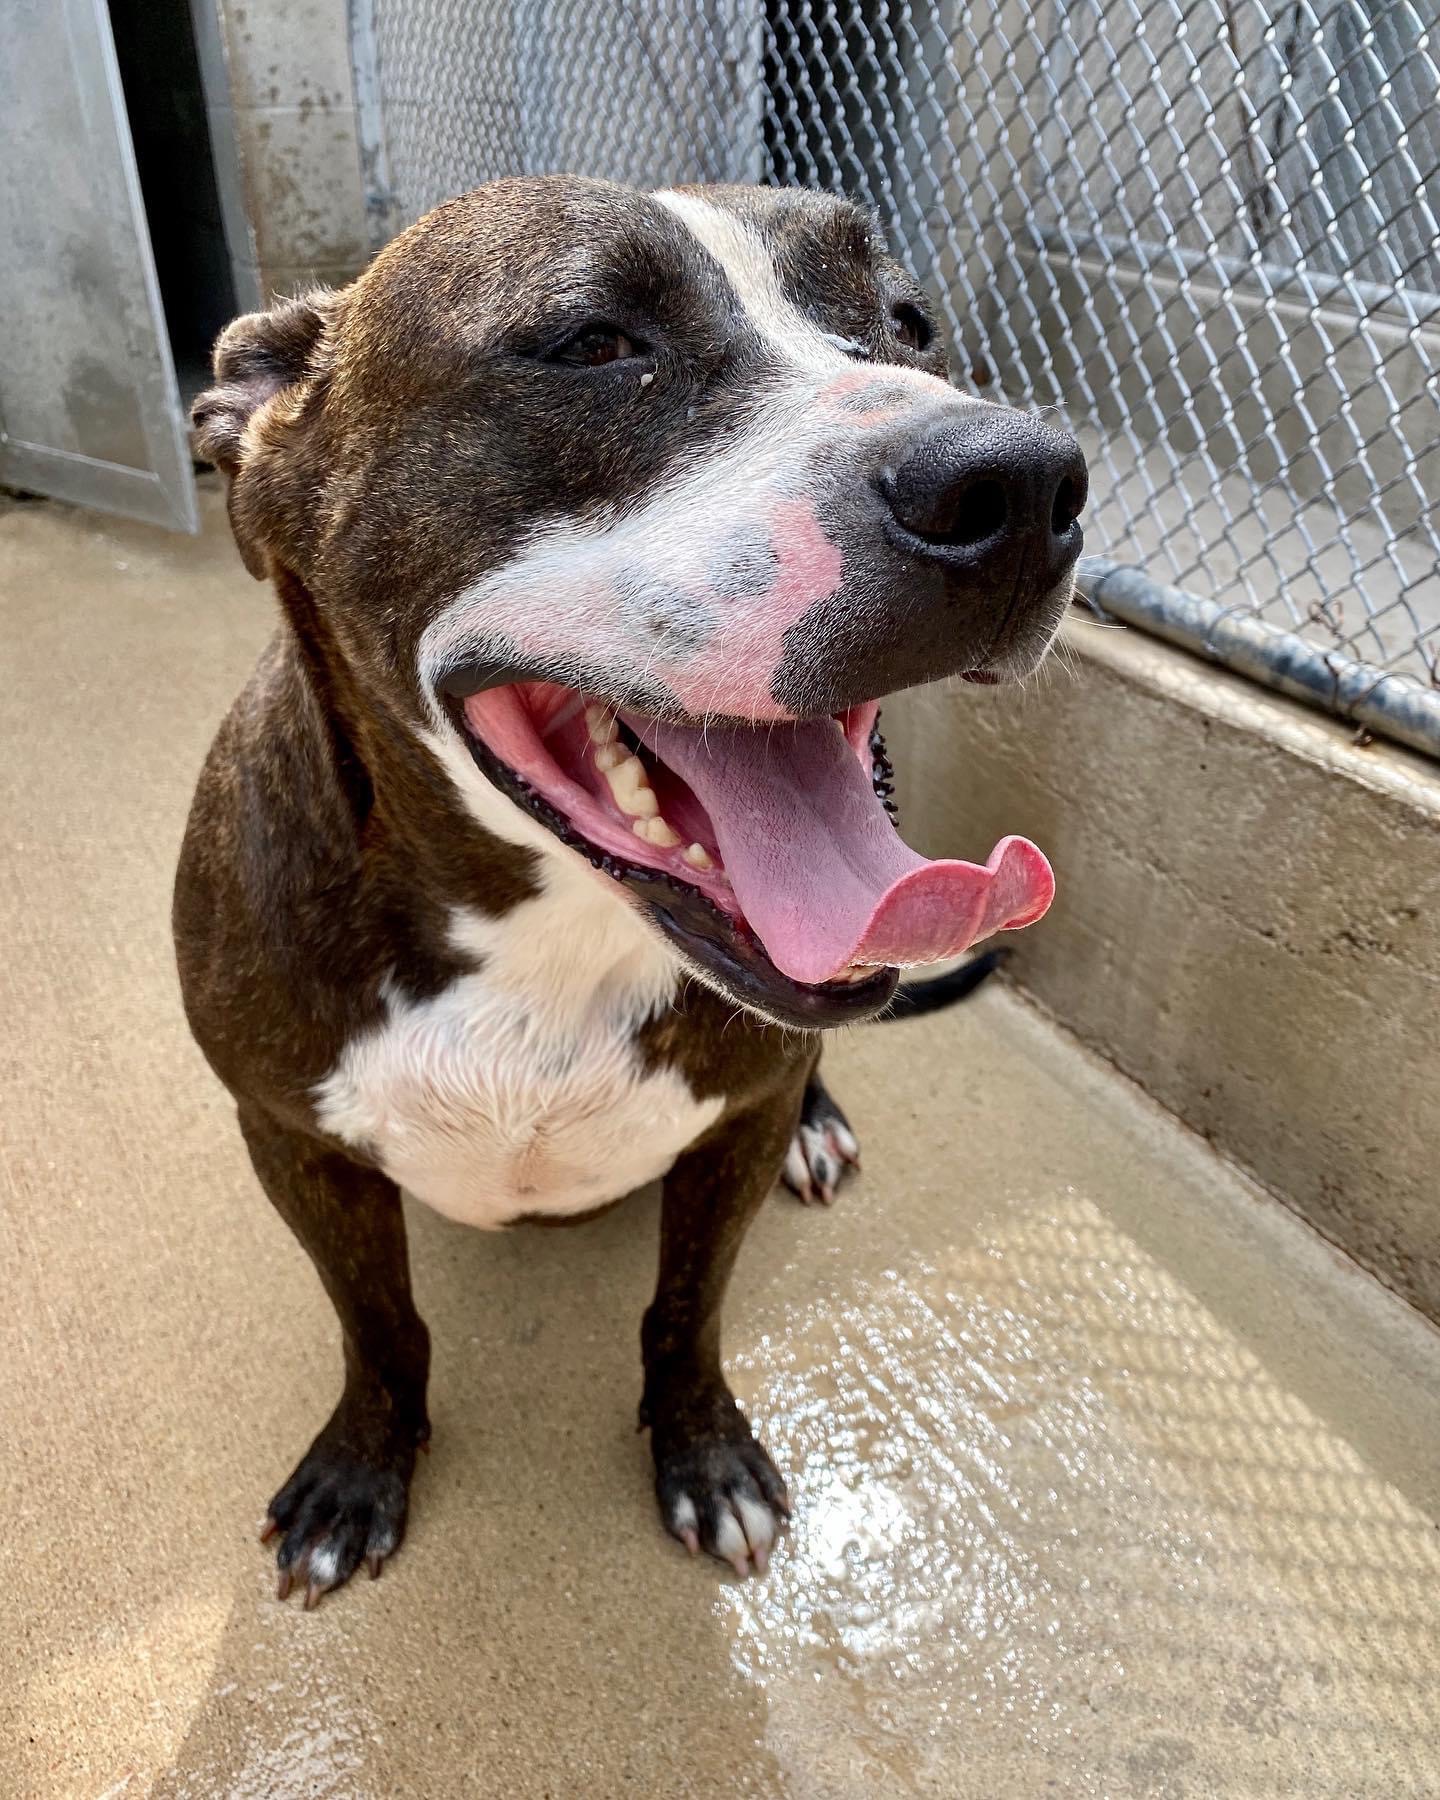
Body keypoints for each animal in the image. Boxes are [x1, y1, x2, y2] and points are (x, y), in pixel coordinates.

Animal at [174, 175, 1087, 1612]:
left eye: (910, 323)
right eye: (591, 342)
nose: (1025, 479)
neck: (545, 942)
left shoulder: (727, 1137)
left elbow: (685, 1309)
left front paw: (703, 1455)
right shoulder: (292, 1141)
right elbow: (378, 1323)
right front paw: (361, 1468)